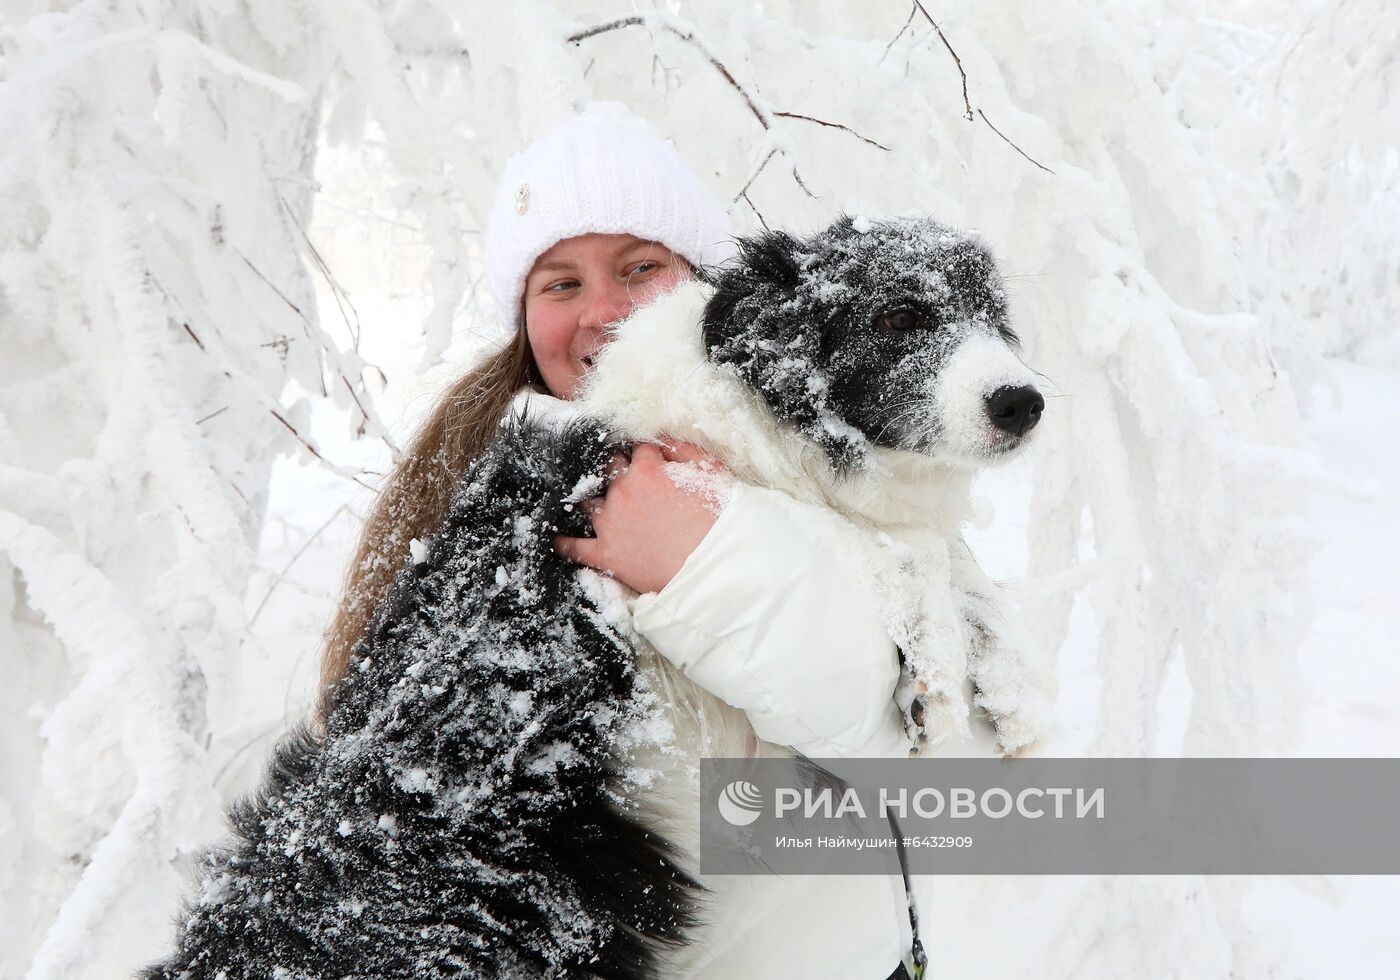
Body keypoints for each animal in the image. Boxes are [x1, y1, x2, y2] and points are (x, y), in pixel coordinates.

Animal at [147, 214, 1052, 980]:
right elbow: (880, 542)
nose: (1024, 402)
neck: (747, 409)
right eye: (898, 316)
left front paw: (1006, 683)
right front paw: (937, 667)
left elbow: (945, 556)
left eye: (994, 318)